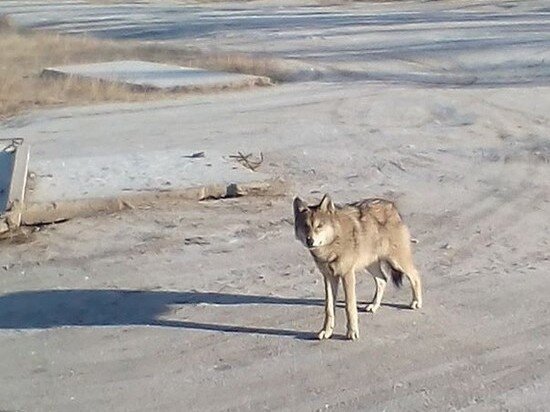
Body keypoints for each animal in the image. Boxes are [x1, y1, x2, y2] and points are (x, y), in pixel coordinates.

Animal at [296, 195, 424, 340]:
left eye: (319, 226)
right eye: (305, 226)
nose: (310, 241)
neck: (333, 245)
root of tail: (391, 206)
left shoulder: (347, 275)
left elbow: (350, 307)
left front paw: (352, 332)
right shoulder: (329, 277)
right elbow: (329, 308)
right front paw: (326, 331)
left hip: (396, 262)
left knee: (415, 276)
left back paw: (416, 302)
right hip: (371, 265)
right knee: (383, 280)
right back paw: (374, 305)